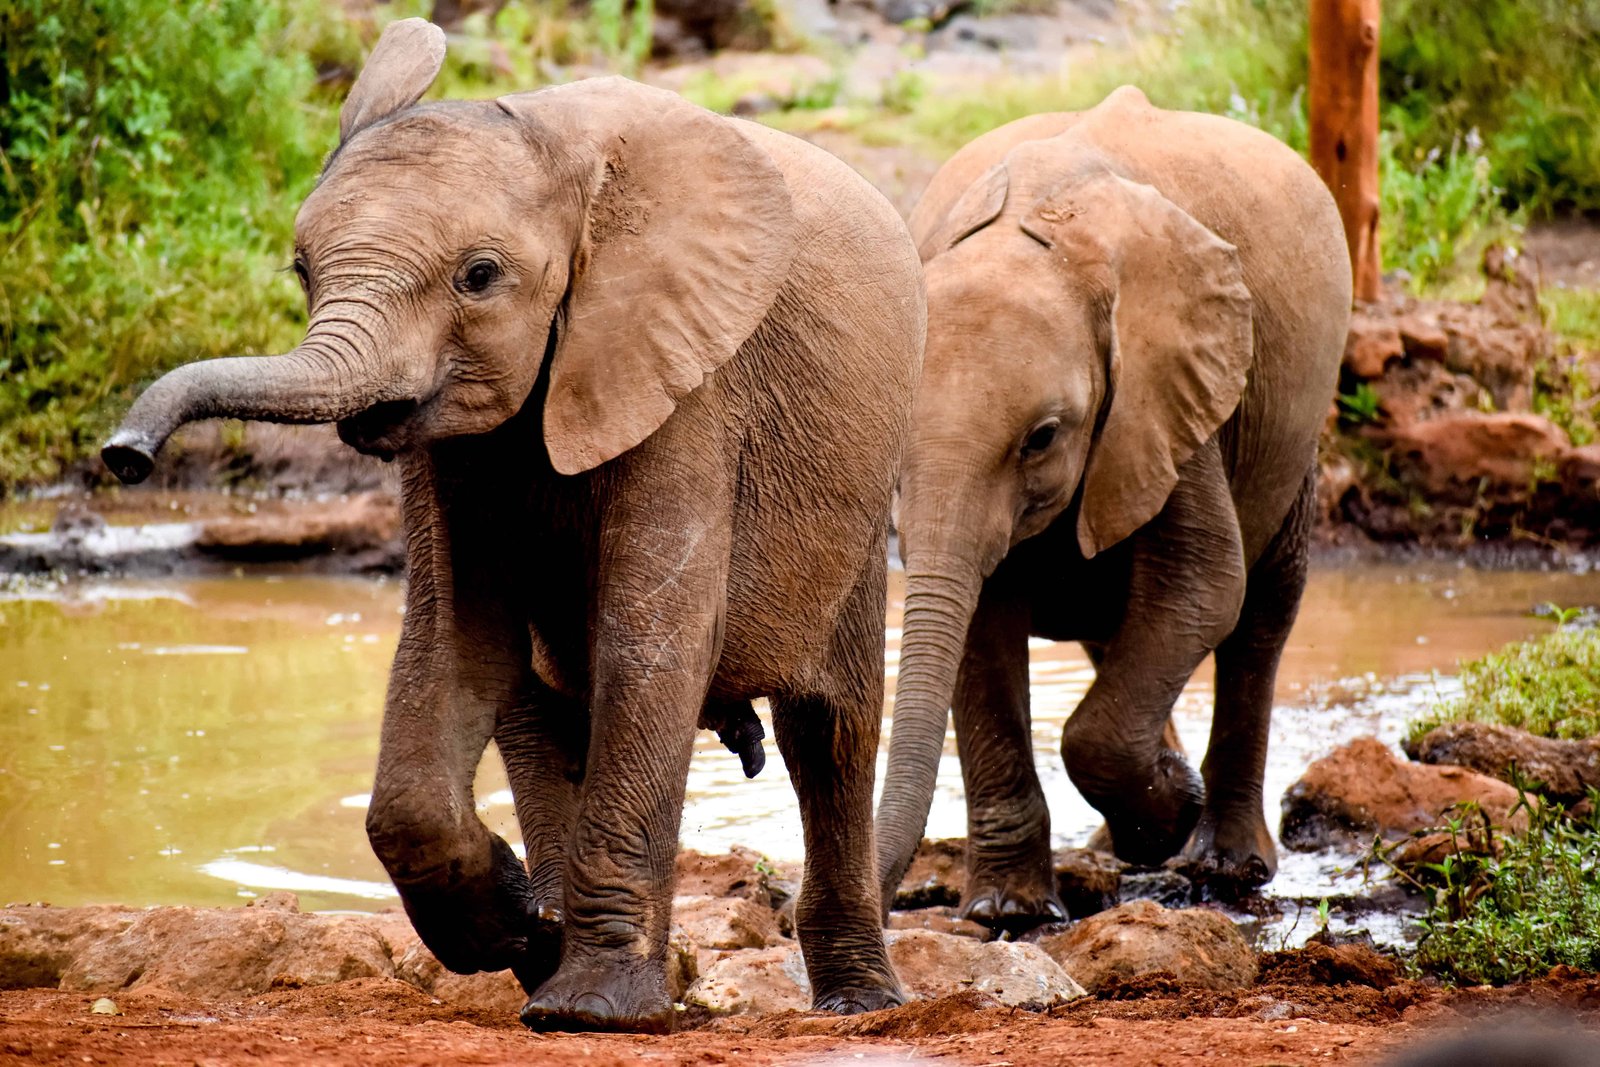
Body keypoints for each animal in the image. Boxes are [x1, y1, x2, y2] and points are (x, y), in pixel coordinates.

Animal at [101, 19, 925, 1033]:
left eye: (480, 277)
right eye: (301, 270)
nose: (124, 456)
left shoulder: (690, 379)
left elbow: (651, 642)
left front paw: (594, 1012)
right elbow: (455, 639)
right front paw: (521, 928)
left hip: (861, 489)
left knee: (830, 733)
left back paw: (856, 1004)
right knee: (541, 716)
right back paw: (553, 954)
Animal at [874, 86, 1351, 933]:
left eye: (1041, 438)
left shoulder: (1172, 389)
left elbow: (1204, 583)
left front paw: (1169, 811)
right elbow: (978, 623)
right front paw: (1008, 910)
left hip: (1294, 427)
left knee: (1262, 612)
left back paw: (1223, 861)